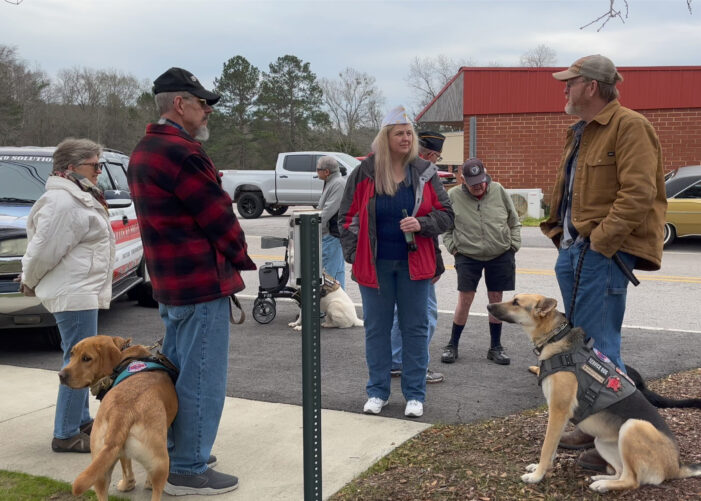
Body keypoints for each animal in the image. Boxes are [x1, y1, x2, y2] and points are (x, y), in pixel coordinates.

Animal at [58, 336, 178, 500]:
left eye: (86, 358)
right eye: (72, 354)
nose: (61, 375)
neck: (124, 351)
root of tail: (121, 413)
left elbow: (126, 466)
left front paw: (128, 485)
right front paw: (134, 485)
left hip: (100, 465)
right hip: (160, 463)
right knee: (156, 490)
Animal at [486, 292, 700, 492]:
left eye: (516, 302)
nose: (488, 306)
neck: (555, 337)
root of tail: (677, 465)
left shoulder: (558, 411)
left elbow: (547, 447)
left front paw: (537, 476)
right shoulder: (559, 416)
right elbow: (552, 447)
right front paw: (541, 469)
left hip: (633, 426)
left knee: (632, 480)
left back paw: (603, 485)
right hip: (602, 441)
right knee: (620, 472)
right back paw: (602, 479)